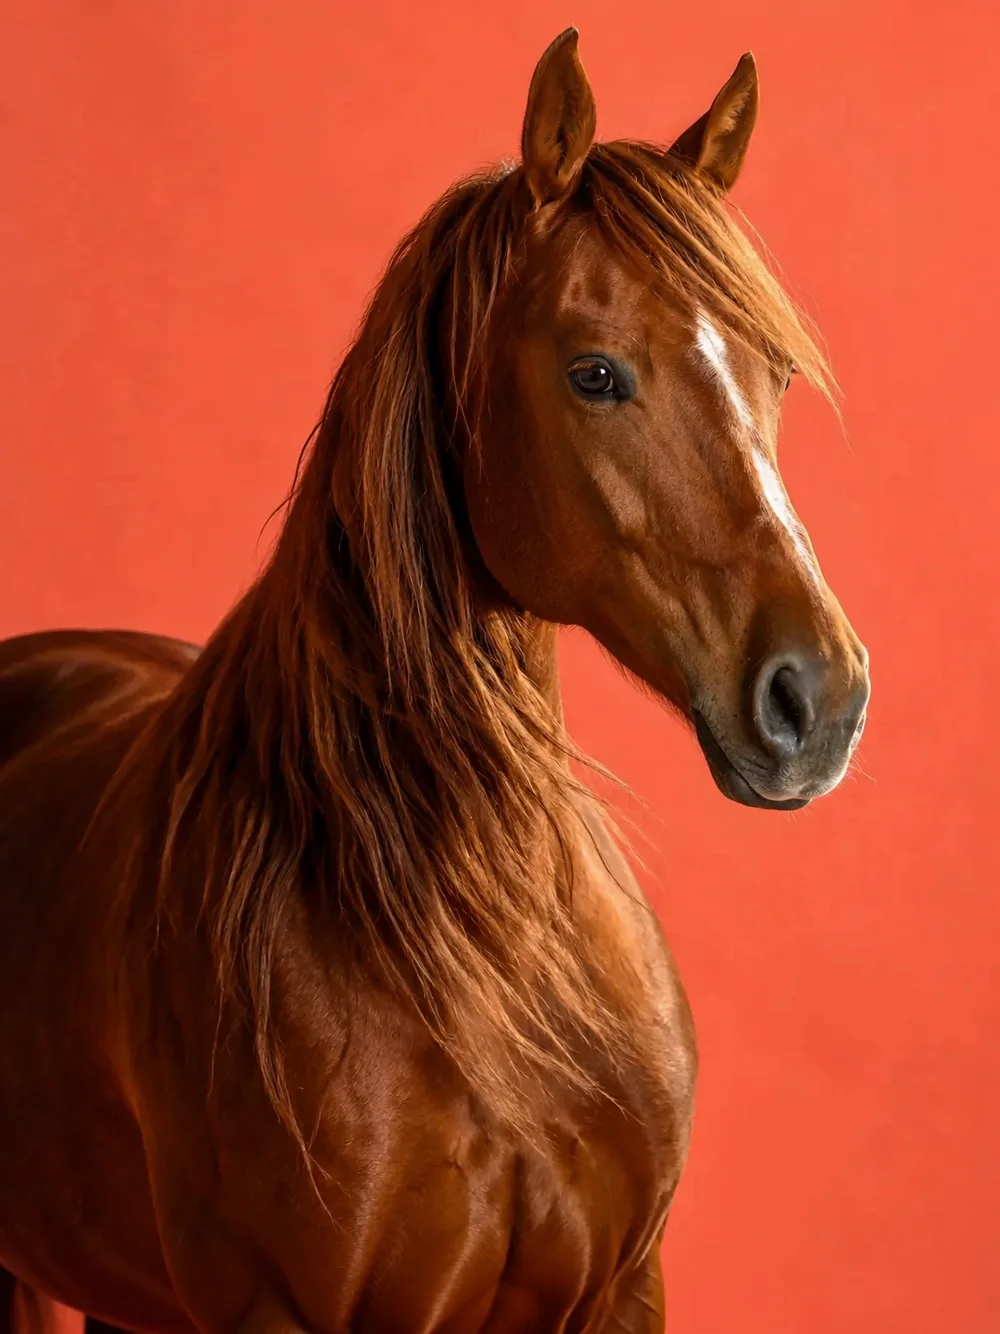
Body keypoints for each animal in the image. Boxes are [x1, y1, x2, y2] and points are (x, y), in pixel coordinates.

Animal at [0, 28, 870, 1334]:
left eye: (770, 372)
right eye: (595, 372)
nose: (818, 699)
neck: (474, 930)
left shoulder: (624, 1286)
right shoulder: (278, 1309)